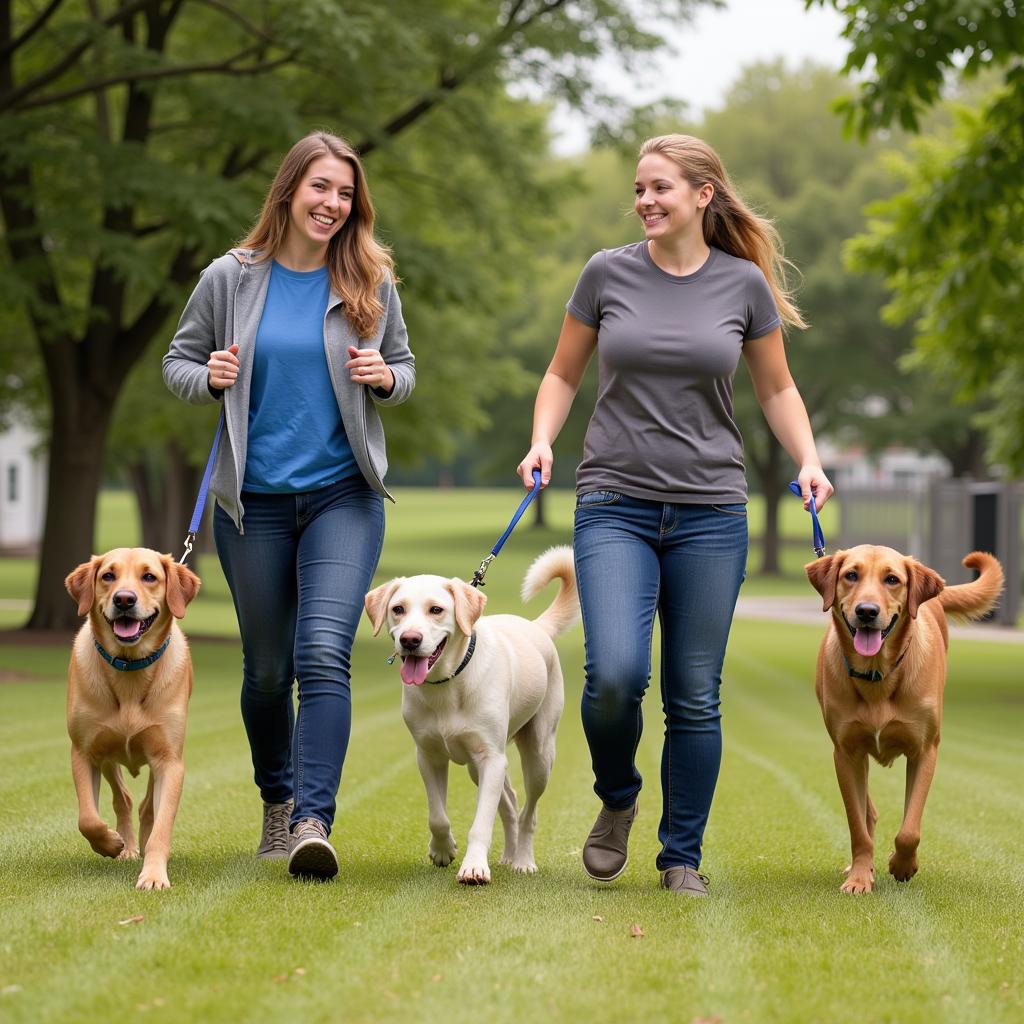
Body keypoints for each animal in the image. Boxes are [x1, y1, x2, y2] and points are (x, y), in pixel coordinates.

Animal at [65, 548, 200, 892]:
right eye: (108, 576)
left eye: (149, 576)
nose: (124, 599)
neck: (129, 668)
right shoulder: (83, 752)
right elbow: (87, 818)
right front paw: (111, 843)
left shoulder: (169, 760)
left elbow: (162, 825)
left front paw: (153, 875)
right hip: (107, 754)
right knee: (123, 798)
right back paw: (124, 844)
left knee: (147, 806)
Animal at [366, 548, 577, 884]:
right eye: (398, 609)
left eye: (436, 610)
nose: (410, 639)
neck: (447, 684)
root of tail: (536, 627)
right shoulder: (428, 756)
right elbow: (437, 815)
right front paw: (442, 849)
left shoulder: (491, 757)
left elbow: (481, 823)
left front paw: (474, 866)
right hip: (478, 769)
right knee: (511, 802)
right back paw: (509, 856)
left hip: (538, 755)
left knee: (528, 812)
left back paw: (523, 860)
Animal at [802, 548, 1003, 892]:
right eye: (851, 575)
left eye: (892, 579)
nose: (866, 612)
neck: (877, 673)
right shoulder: (845, 753)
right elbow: (857, 826)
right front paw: (859, 877)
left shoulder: (925, 751)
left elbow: (910, 829)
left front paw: (902, 865)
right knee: (867, 812)